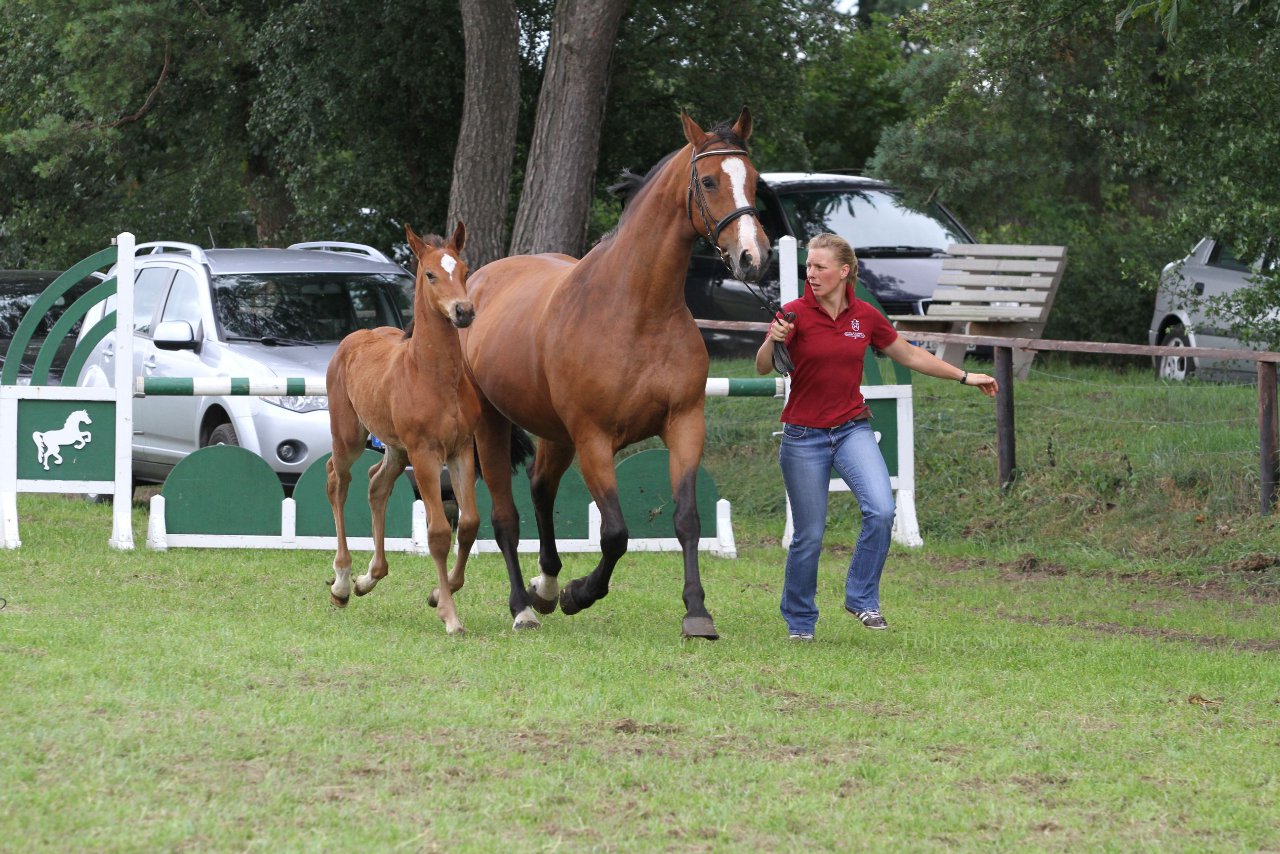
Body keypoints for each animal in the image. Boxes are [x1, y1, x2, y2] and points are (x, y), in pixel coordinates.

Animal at [327, 224, 532, 637]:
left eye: (465, 270)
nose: (463, 311)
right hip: (349, 437)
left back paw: (368, 578)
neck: (432, 376)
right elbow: (437, 533)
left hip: (395, 448)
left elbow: (468, 524)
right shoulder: (425, 454)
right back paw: (341, 583)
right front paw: (451, 617)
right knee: (338, 482)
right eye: (431, 274)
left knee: (376, 484)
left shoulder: (461, 450)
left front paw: (440, 595)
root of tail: (352, 338)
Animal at [463, 110, 768, 637]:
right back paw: (524, 606)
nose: (753, 257)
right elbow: (616, 534)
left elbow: (687, 519)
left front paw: (697, 611)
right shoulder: (594, 439)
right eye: (709, 181)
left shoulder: (685, 424)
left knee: (541, 489)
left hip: (555, 435)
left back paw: (545, 587)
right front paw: (579, 594)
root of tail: (477, 282)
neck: (636, 309)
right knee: (505, 517)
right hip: (492, 424)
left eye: (753, 180)